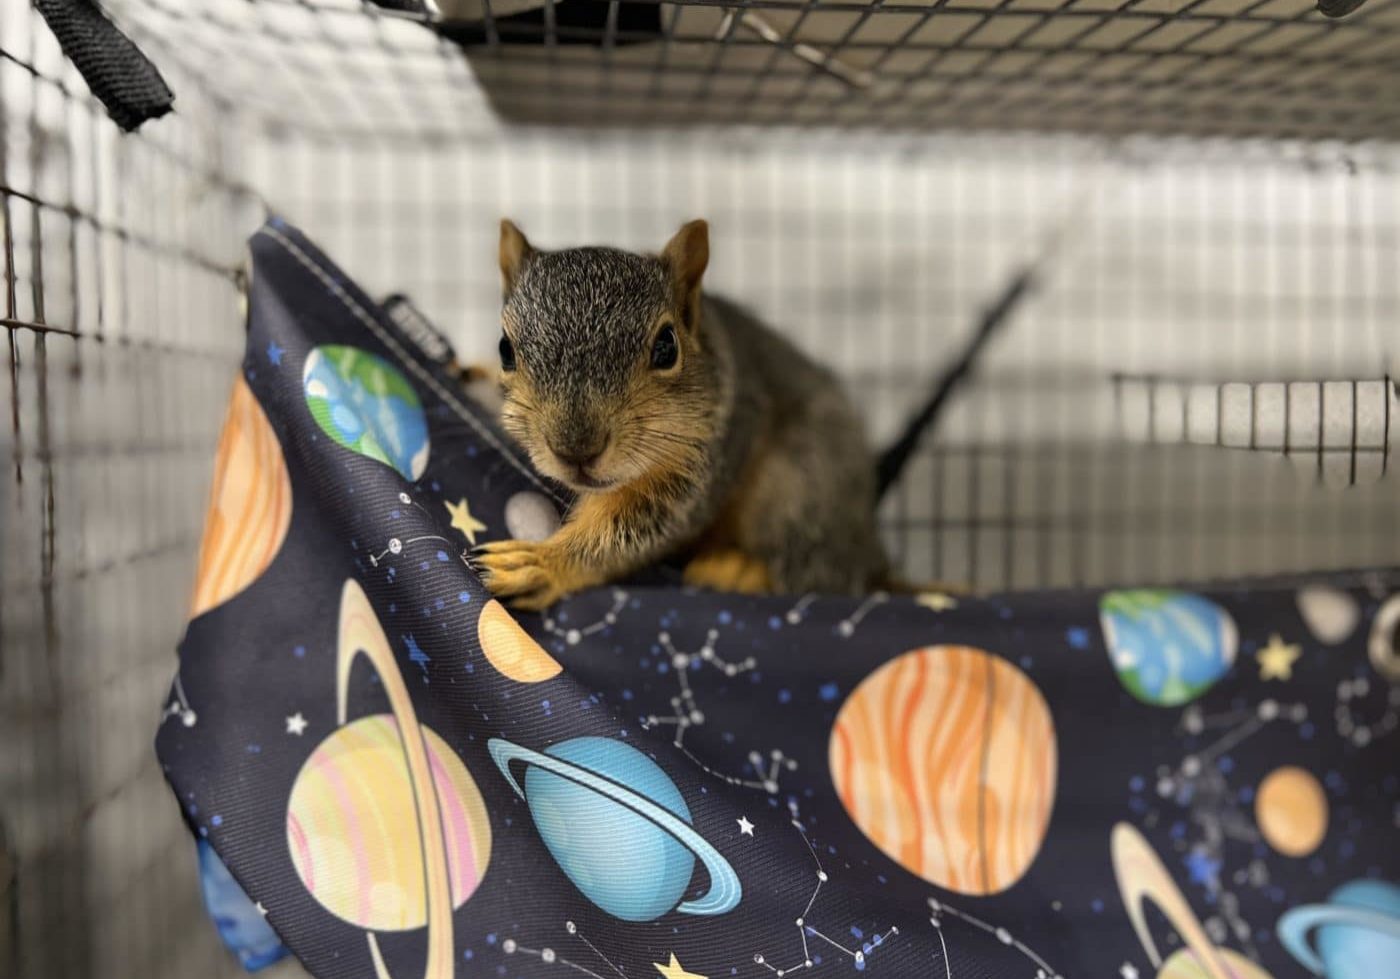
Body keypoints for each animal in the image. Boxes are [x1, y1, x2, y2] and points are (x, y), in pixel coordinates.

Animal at [472, 219, 890, 610]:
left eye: (667, 347)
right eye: (505, 349)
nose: (577, 450)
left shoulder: (703, 459)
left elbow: (637, 527)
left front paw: (542, 562)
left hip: (807, 482)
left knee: (815, 570)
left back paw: (738, 570)